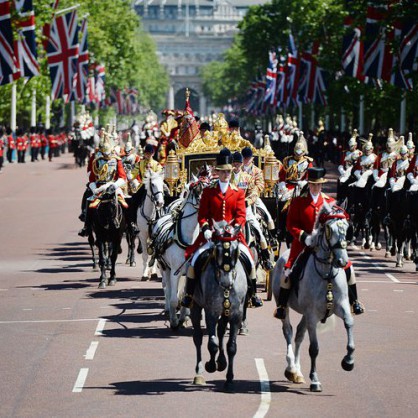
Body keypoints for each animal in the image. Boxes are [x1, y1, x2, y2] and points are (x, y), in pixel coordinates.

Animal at [151, 176, 208, 330]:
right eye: (197, 190)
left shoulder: (190, 272)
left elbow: (186, 296)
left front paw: (183, 316)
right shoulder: (175, 272)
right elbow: (174, 298)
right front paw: (174, 321)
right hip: (165, 267)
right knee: (167, 288)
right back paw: (168, 310)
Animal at [190, 222, 247, 392]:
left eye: (235, 251)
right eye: (217, 250)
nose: (226, 281)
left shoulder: (236, 315)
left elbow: (231, 346)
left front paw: (229, 380)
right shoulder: (211, 312)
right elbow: (212, 344)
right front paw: (210, 365)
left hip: (226, 311)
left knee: (221, 331)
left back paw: (221, 362)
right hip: (195, 306)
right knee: (198, 337)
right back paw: (199, 372)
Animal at [272, 202, 356, 392]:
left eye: (347, 228)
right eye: (329, 229)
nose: (342, 261)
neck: (327, 274)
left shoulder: (341, 306)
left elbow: (349, 323)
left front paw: (348, 361)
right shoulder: (312, 315)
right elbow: (314, 348)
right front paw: (315, 380)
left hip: (305, 313)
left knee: (299, 334)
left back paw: (297, 372)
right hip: (285, 307)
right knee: (288, 331)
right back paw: (291, 368)